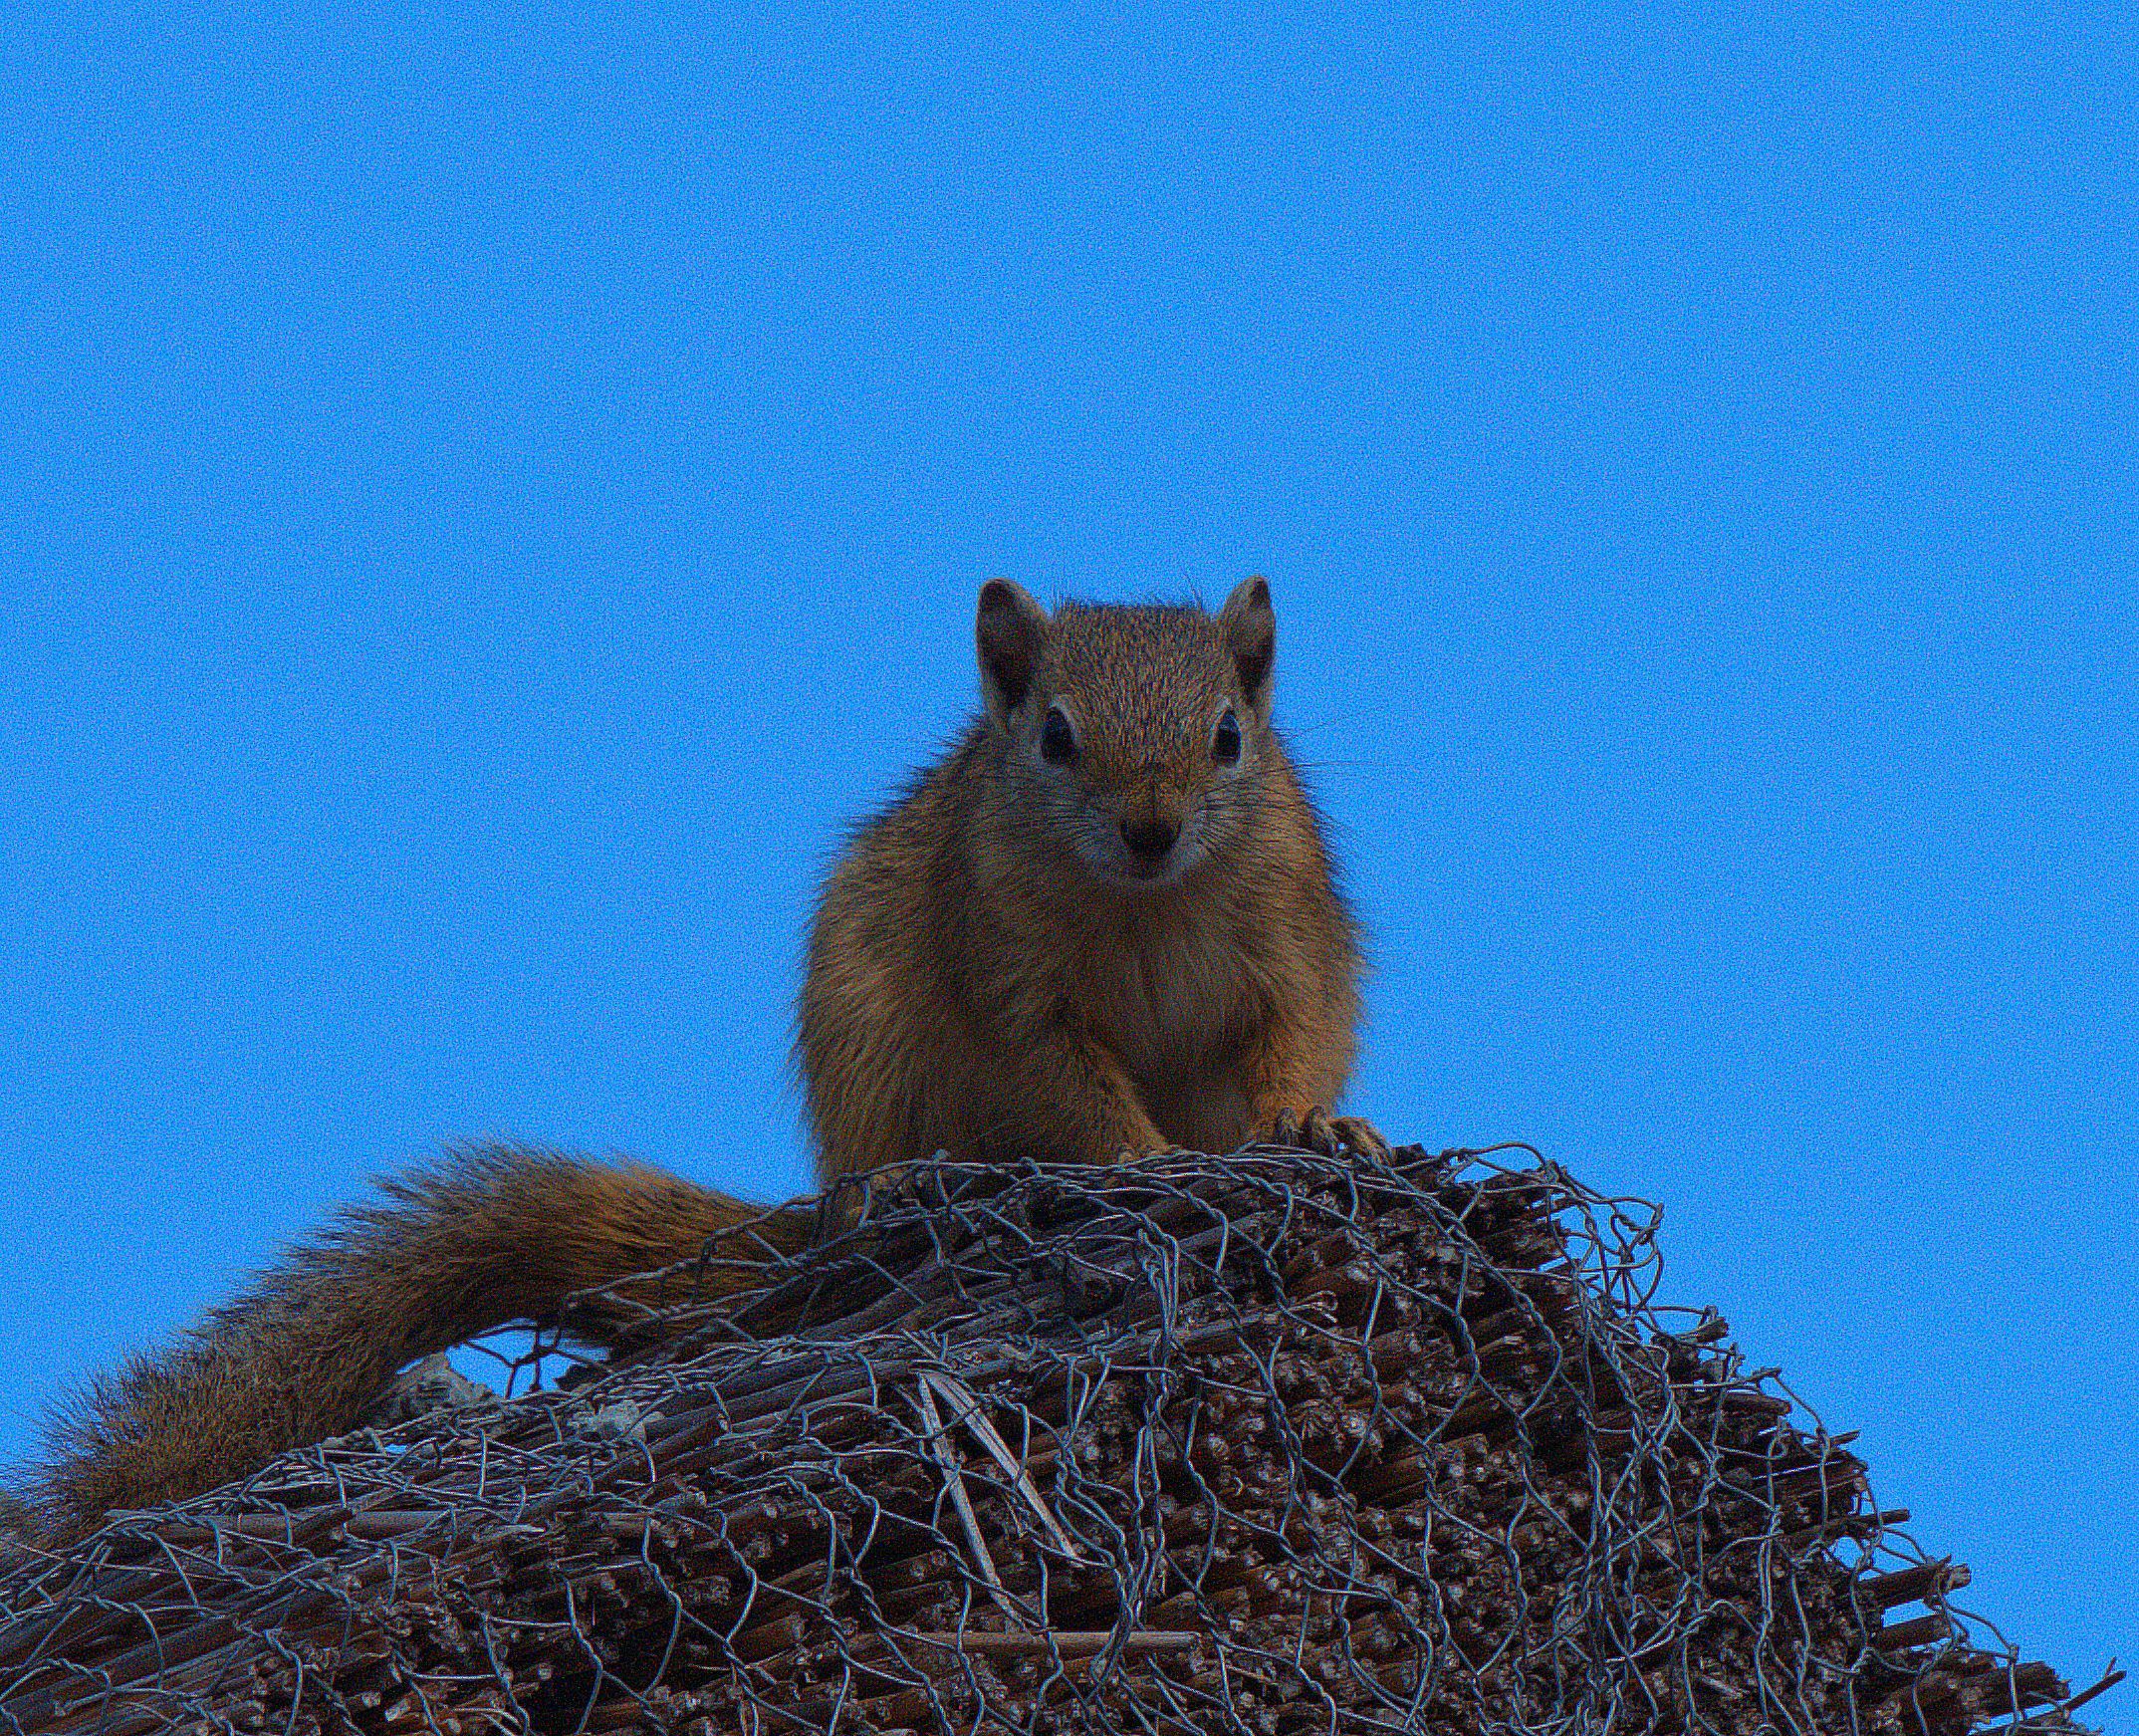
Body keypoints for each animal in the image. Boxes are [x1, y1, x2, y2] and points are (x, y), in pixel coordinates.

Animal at [12, 578, 1368, 1541]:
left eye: (1230, 736)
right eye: (1054, 737)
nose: (1149, 830)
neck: (1145, 906)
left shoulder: (1291, 942)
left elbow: (1291, 1042)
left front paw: (1311, 1127)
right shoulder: (1007, 974)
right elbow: (1065, 1084)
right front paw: (1140, 1157)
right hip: (862, 1042)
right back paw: (897, 1190)